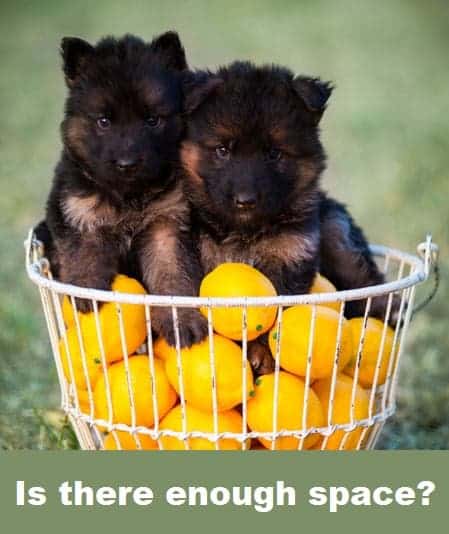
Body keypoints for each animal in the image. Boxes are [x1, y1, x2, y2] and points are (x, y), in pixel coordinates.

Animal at [42, 32, 206, 348]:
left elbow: (173, 277)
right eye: (104, 121)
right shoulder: (78, 212)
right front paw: (86, 289)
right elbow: (83, 252)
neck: (129, 197)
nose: (127, 164)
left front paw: (182, 321)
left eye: (152, 120)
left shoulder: (166, 228)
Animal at [180, 62, 390, 372]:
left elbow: (274, 315)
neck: (245, 232)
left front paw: (265, 356)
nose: (245, 200)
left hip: (335, 231)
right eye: (222, 150)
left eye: (274, 153)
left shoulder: (290, 257)